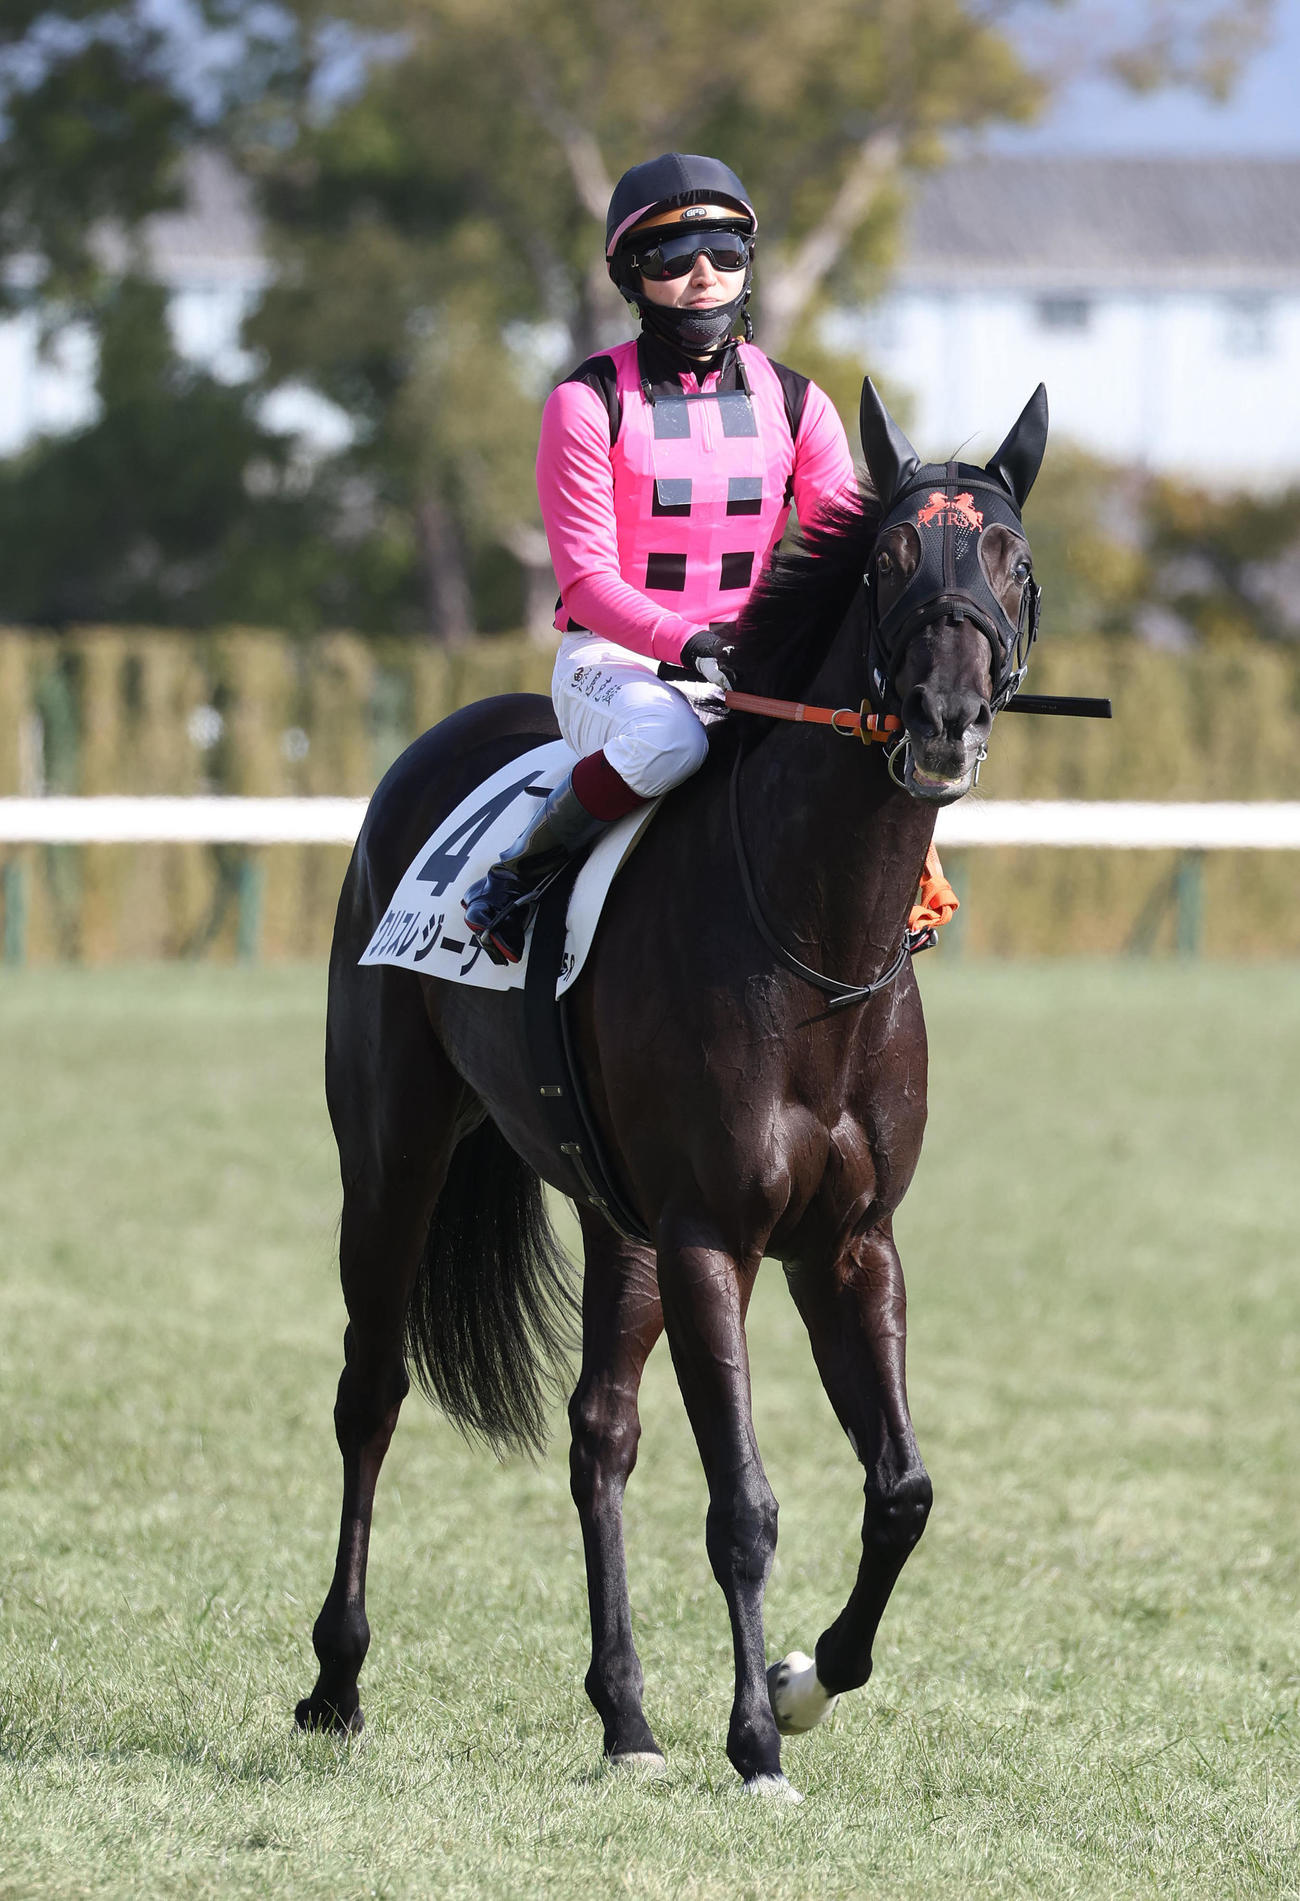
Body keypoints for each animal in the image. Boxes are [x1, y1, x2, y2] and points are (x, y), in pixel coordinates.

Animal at [294, 377, 1050, 1799]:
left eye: (1012, 561)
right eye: (886, 560)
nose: (943, 718)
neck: (815, 941)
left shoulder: (849, 1242)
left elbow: (903, 1489)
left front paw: (806, 1681)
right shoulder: (714, 1233)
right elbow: (743, 1503)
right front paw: (753, 1737)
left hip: (616, 1216)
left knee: (599, 1431)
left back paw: (625, 1715)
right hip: (393, 1149)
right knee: (371, 1393)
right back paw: (335, 1679)